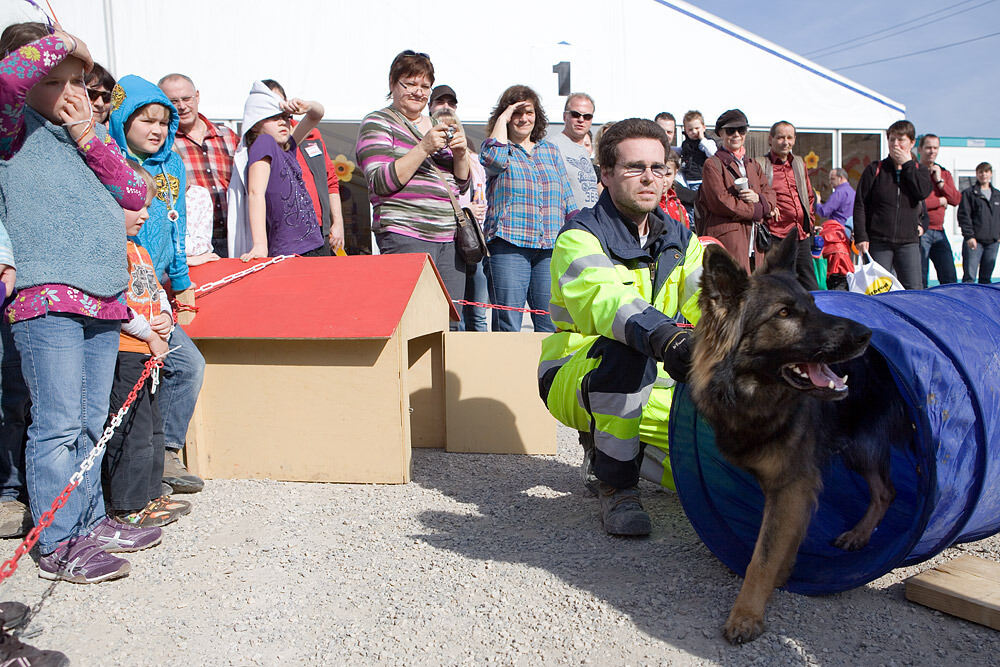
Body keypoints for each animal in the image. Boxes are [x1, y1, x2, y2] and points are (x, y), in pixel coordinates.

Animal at [692, 234, 912, 640]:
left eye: (813, 303)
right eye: (784, 314)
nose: (867, 335)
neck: (755, 396)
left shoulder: (792, 482)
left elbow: (762, 558)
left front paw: (746, 614)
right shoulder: (792, 484)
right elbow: (784, 540)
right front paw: (783, 573)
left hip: (861, 444)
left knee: (886, 490)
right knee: (885, 491)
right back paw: (858, 535)